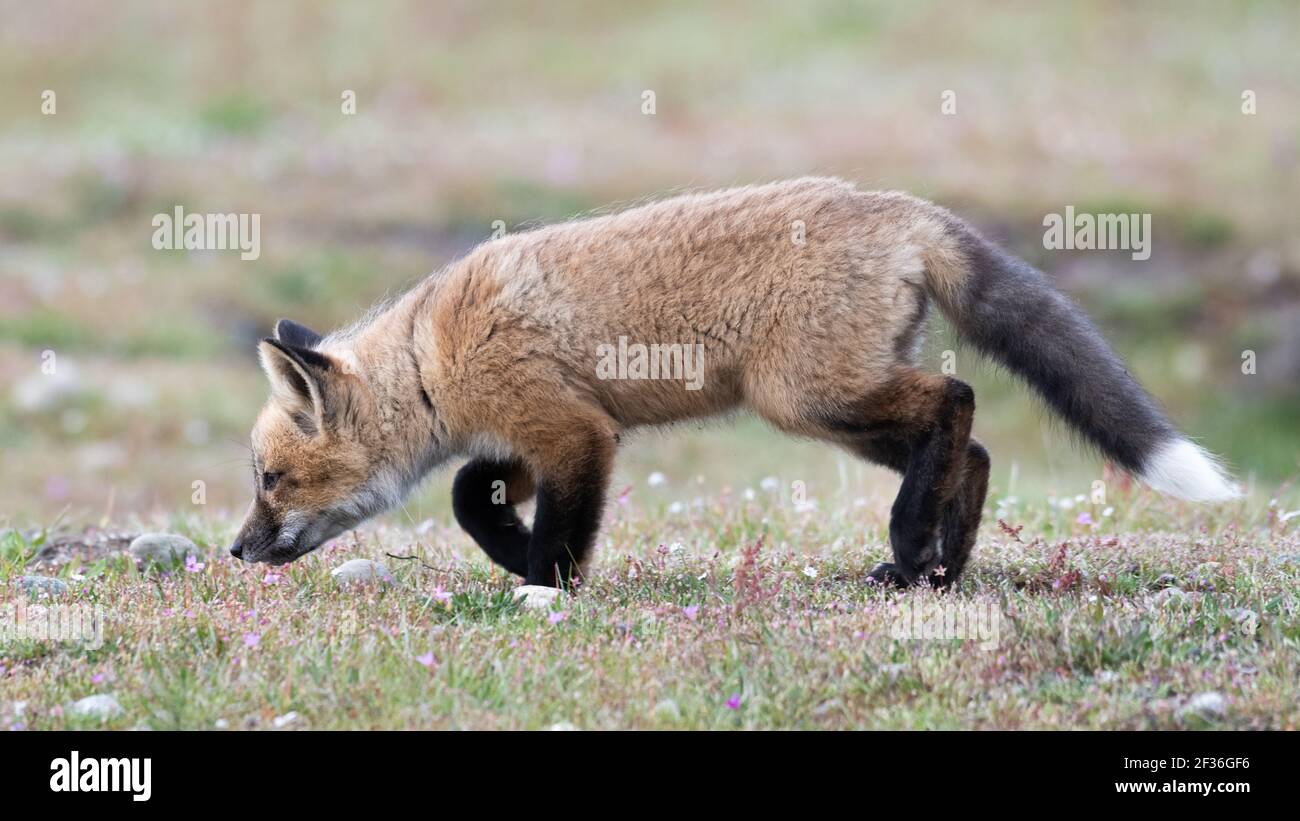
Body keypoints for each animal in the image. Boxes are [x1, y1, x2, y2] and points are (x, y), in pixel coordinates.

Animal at [230, 177, 1240, 589]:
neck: (431, 362)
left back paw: (911, 542)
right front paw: (513, 549)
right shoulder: (537, 436)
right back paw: (940, 564)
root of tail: (903, 209)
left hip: (807, 398)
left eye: (270, 478)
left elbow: (538, 523)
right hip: (835, 407)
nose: (237, 549)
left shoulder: (575, 433)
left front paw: (543, 581)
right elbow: (473, 494)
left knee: (956, 403)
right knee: (975, 445)